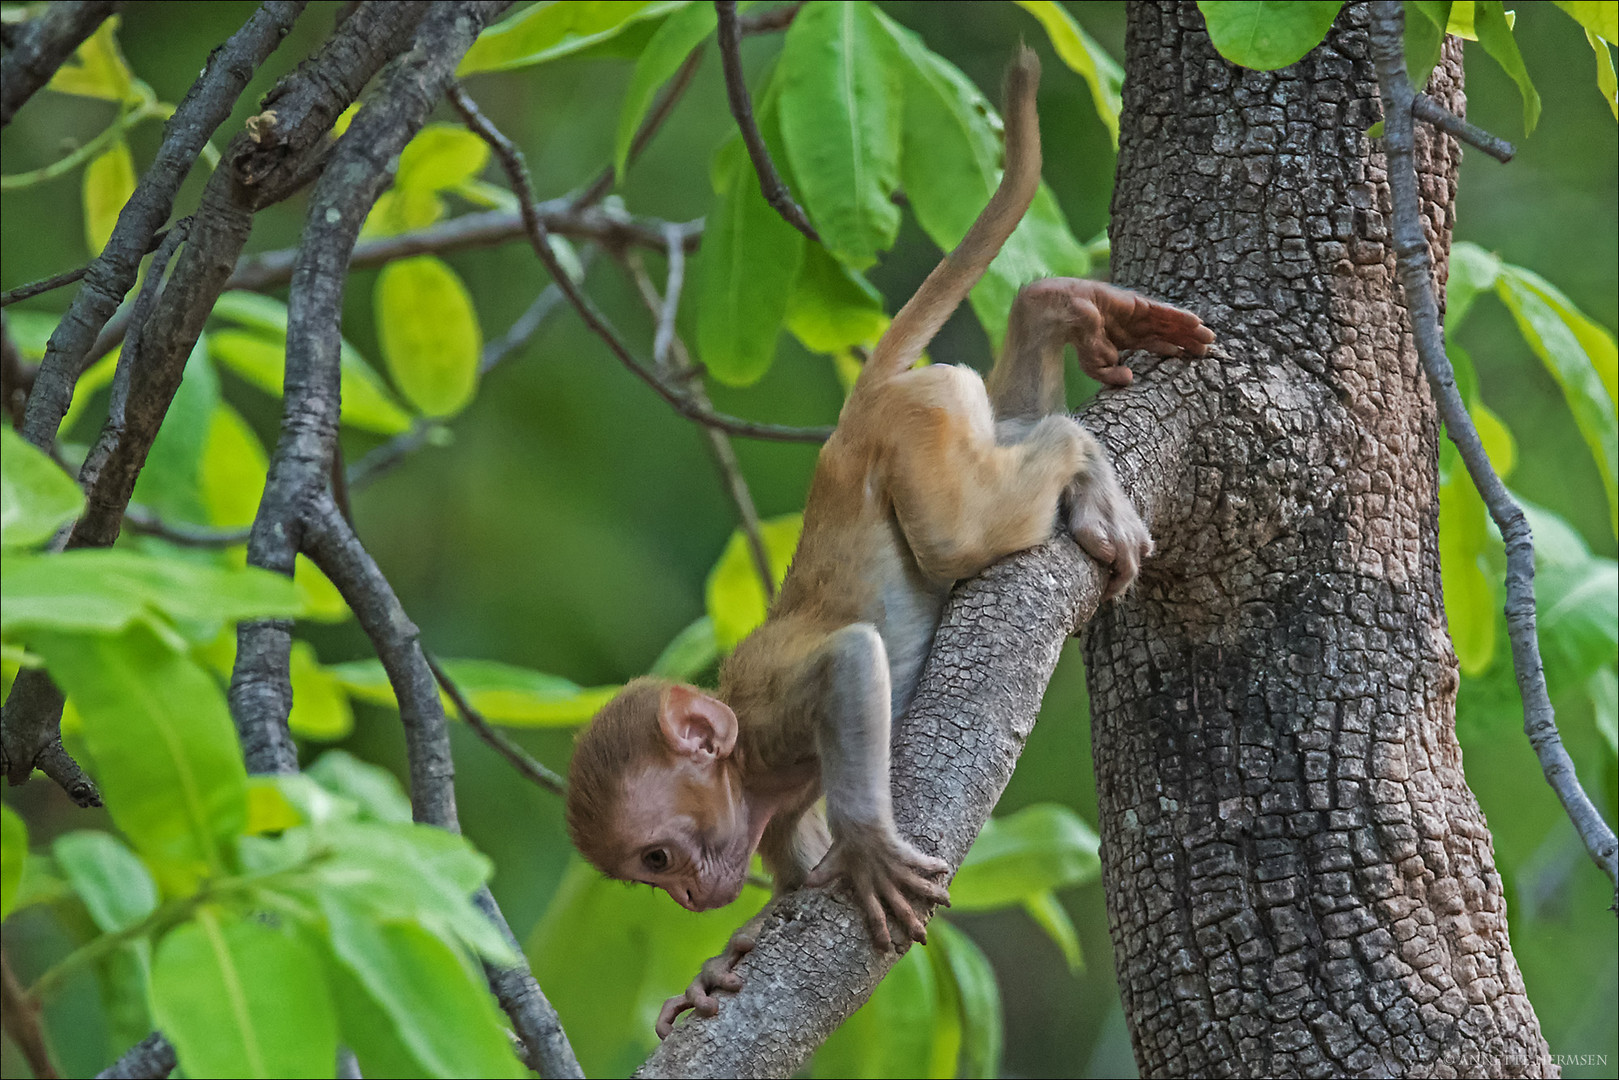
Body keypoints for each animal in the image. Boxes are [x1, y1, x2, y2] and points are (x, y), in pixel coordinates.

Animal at [563, 44, 1211, 1036]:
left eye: (656, 859)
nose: (688, 900)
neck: (747, 770)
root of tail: (854, 416)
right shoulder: (768, 807)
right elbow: (792, 866)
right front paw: (721, 966)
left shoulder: (774, 722)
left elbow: (851, 662)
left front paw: (865, 848)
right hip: (947, 418)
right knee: (1005, 429)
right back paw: (1053, 311)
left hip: (919, 428)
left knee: (961, 534)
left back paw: (1077, 453)